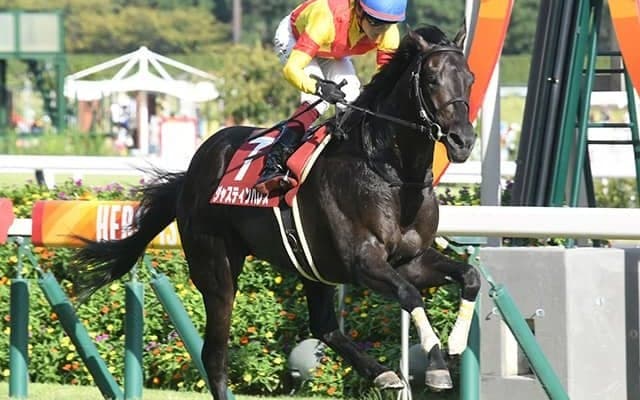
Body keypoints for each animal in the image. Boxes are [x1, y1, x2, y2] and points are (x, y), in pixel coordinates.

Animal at [71, 25, 479, 399]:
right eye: (431, 79)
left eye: (470, 78)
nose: (463, 140)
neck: (390, 173)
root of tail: (193, 170)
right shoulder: (363, 262)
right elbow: (410, 295)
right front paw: (438, 368)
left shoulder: (409, 259)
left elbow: (468, 277)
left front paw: (456, 344)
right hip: (215, 268)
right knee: (214, 354)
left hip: (314, 268)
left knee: (324, 327)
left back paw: (383, 374)